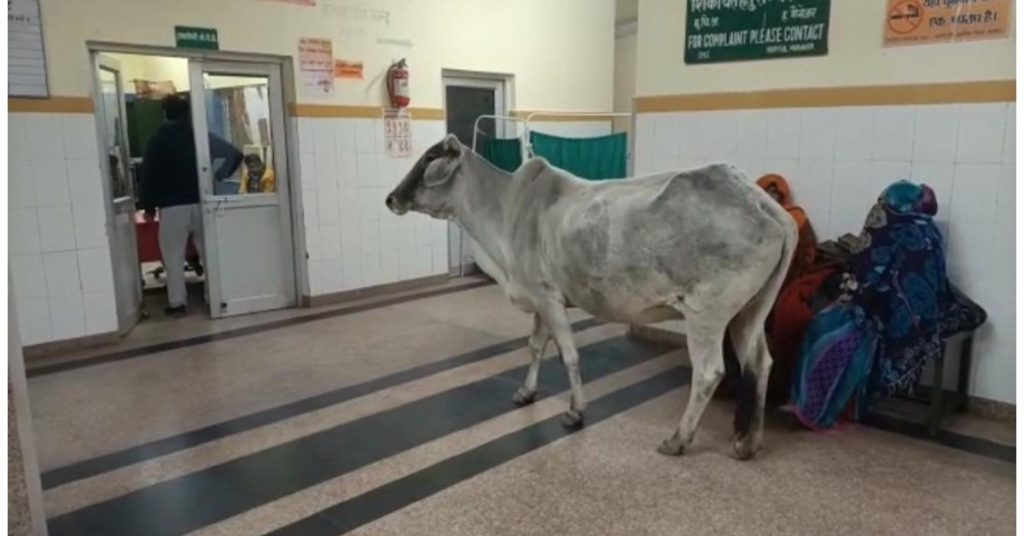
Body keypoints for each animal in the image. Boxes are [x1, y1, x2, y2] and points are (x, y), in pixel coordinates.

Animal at [385, 134, 796, 459]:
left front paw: (575, 412)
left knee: (710, 371)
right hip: (749, 313)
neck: (504, 210)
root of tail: (767, 206)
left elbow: (568, 355)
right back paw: (747, 441)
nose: (391, 198)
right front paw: (526, 392)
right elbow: (535, 347)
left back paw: (679, 439)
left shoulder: (548, 298)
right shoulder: (540, 300)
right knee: (760, 363)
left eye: (430, 159)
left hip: (706, 315)